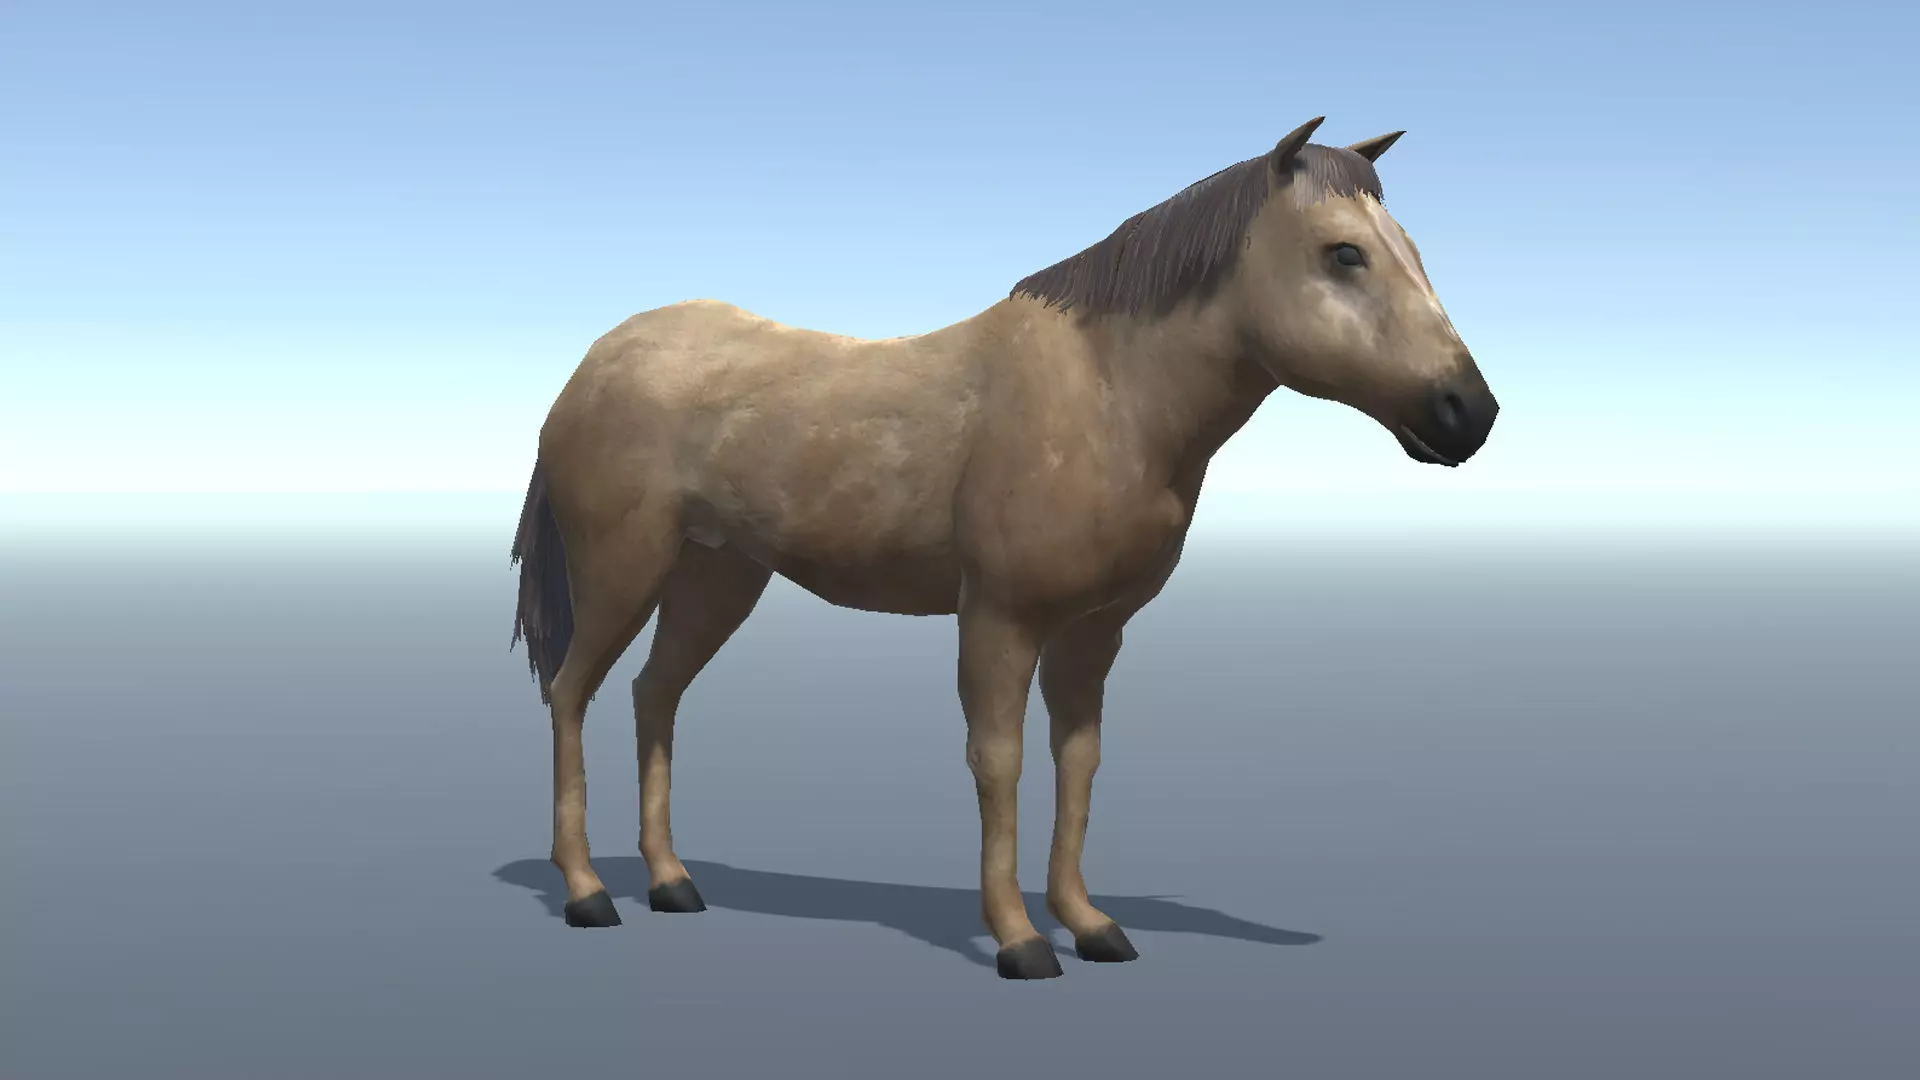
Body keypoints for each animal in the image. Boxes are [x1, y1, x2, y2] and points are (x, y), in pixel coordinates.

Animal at [509, 116, 1499, 980]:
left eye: (1411, 248)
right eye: (1344, 253)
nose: (1470, 412)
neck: (1111, 393)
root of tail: (597, 361)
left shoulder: (1093, 629)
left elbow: (1079, 760)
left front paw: (1089, 924)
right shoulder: (999, 616)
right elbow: (1000, 761)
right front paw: (1020, 940)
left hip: (718, 575)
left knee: (653, 694)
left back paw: (672, 882)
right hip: (623, 568)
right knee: (571, 693)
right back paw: (588, 890)